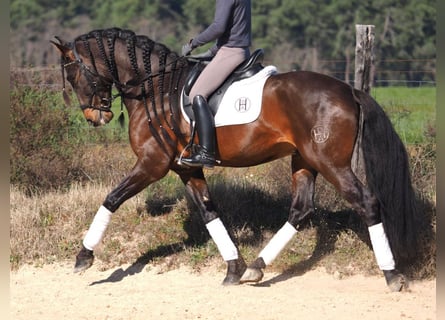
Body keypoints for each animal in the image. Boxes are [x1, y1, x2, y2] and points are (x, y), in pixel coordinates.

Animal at [52, 28, 420, 292]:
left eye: (73, 75)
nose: (94, 117)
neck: (153, 88)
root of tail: (349, 91)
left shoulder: (152, 164)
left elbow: (111, 199)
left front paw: (83, 256)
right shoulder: (185, 167)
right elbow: (209, 212)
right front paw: (233, 268)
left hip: (331, 163)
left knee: (367, 203)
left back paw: (392, 275)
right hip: (305, 160)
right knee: (301, 210)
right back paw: (255, 268)